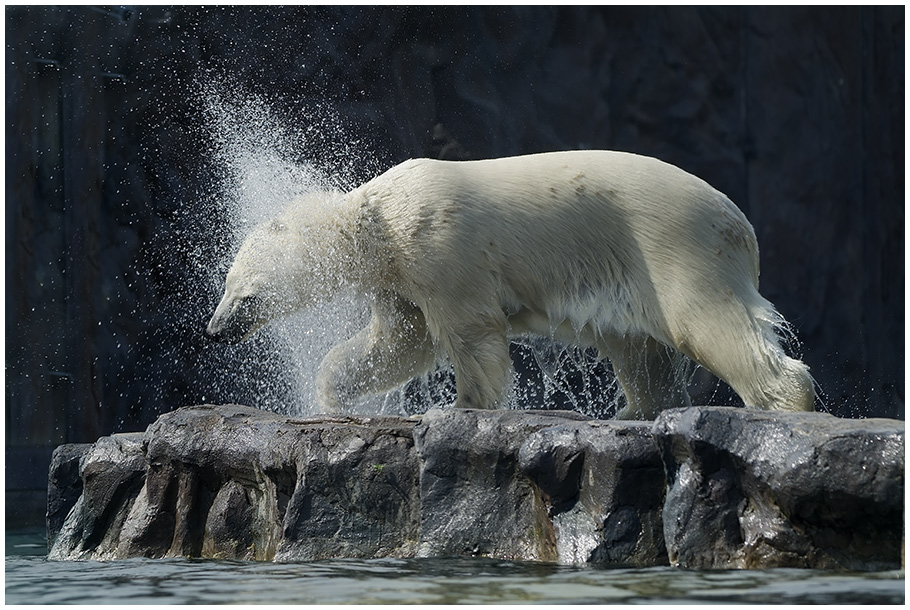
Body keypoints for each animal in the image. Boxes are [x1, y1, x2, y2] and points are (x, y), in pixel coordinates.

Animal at [208, 150, 820, 420]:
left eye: (244, 294)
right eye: (224, 284)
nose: (215, 331)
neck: (377, 219)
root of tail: (741, 225)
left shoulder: (440, 248)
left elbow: (470, 331)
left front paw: (461, 407)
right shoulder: (402, 279)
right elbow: (399, 343)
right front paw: (332, 395)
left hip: (675, 246)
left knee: (709, 323)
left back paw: (781, 404)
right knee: (639, 349)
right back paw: (633, 412)